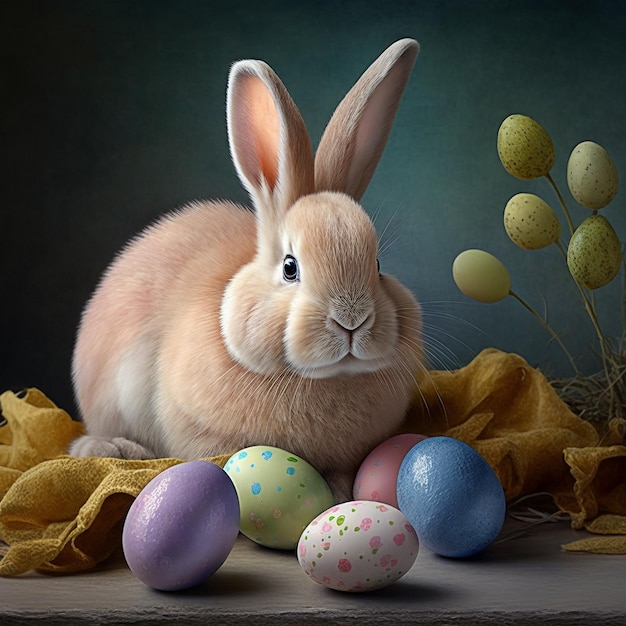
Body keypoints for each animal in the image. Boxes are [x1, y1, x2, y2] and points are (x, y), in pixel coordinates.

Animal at [70, 39, 422, 500]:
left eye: (378, 264)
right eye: (290, 267)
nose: (353, 320)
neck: (322, 378)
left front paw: (341, 491)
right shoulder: (201, 435)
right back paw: (113, 447)